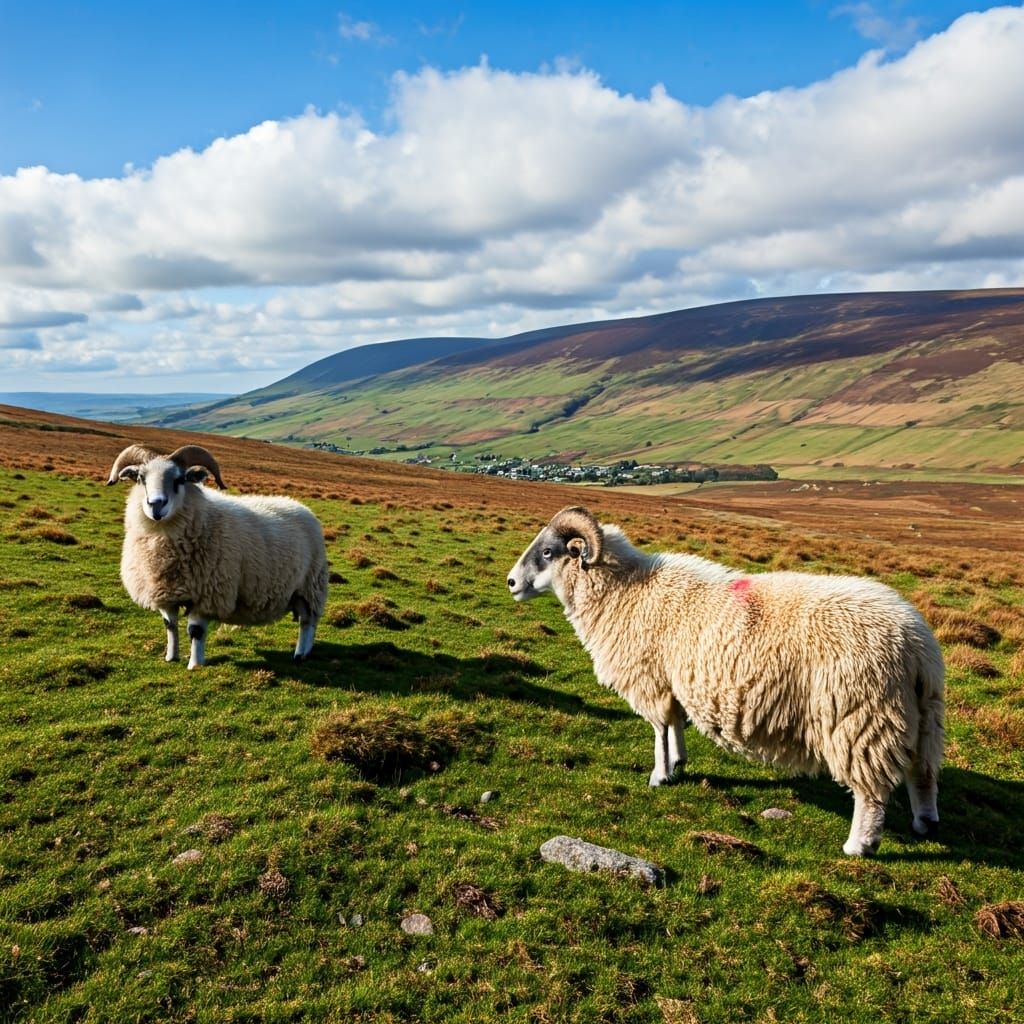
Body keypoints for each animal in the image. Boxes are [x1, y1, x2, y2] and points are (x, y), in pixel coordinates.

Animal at [107, 443, 329, 669]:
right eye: (141, 478)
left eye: (180, 479)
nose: (156, 504)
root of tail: (300, 506)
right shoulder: (165, 592)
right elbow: (170, 625)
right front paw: (171, 657)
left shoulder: (207, 594)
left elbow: (196, 632)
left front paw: (195, 665)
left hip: (309, 585)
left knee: (308, 621)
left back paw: (301, 653)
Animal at [507, 506, 945, 856]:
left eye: (547, 553)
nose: (511, 583)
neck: (625, 590)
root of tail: (915, 644)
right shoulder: (673, 680)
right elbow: (675, 724)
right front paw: (678, 762)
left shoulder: (651, 679)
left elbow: (659, 729)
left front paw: (659, 775)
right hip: (923, 715)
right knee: (922, 774)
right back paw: (925, 823)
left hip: (859, 718)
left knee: (871, 791)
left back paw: (860, 844)